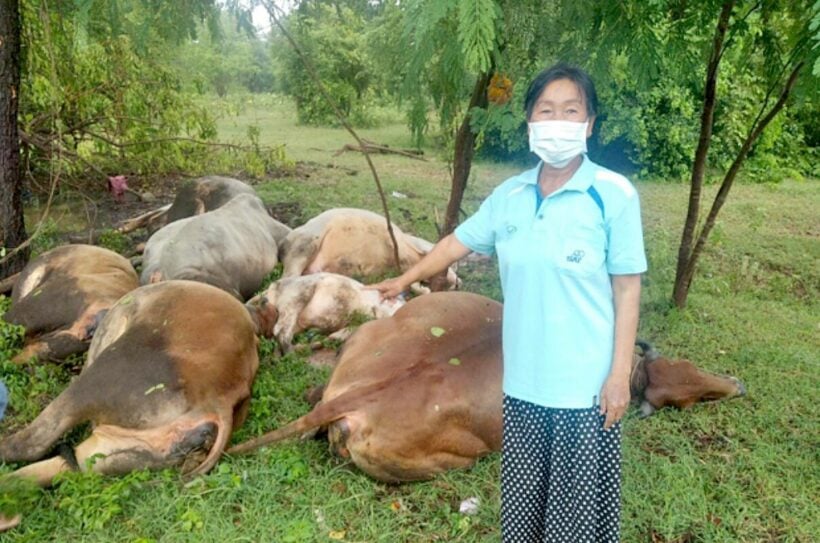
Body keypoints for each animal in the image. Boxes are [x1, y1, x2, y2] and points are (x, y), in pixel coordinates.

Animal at [227, 296, 748, 482]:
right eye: (691, 399)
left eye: (690, 367)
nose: (737, 384)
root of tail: (354, 397)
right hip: (454, 458)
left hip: (364, 337)